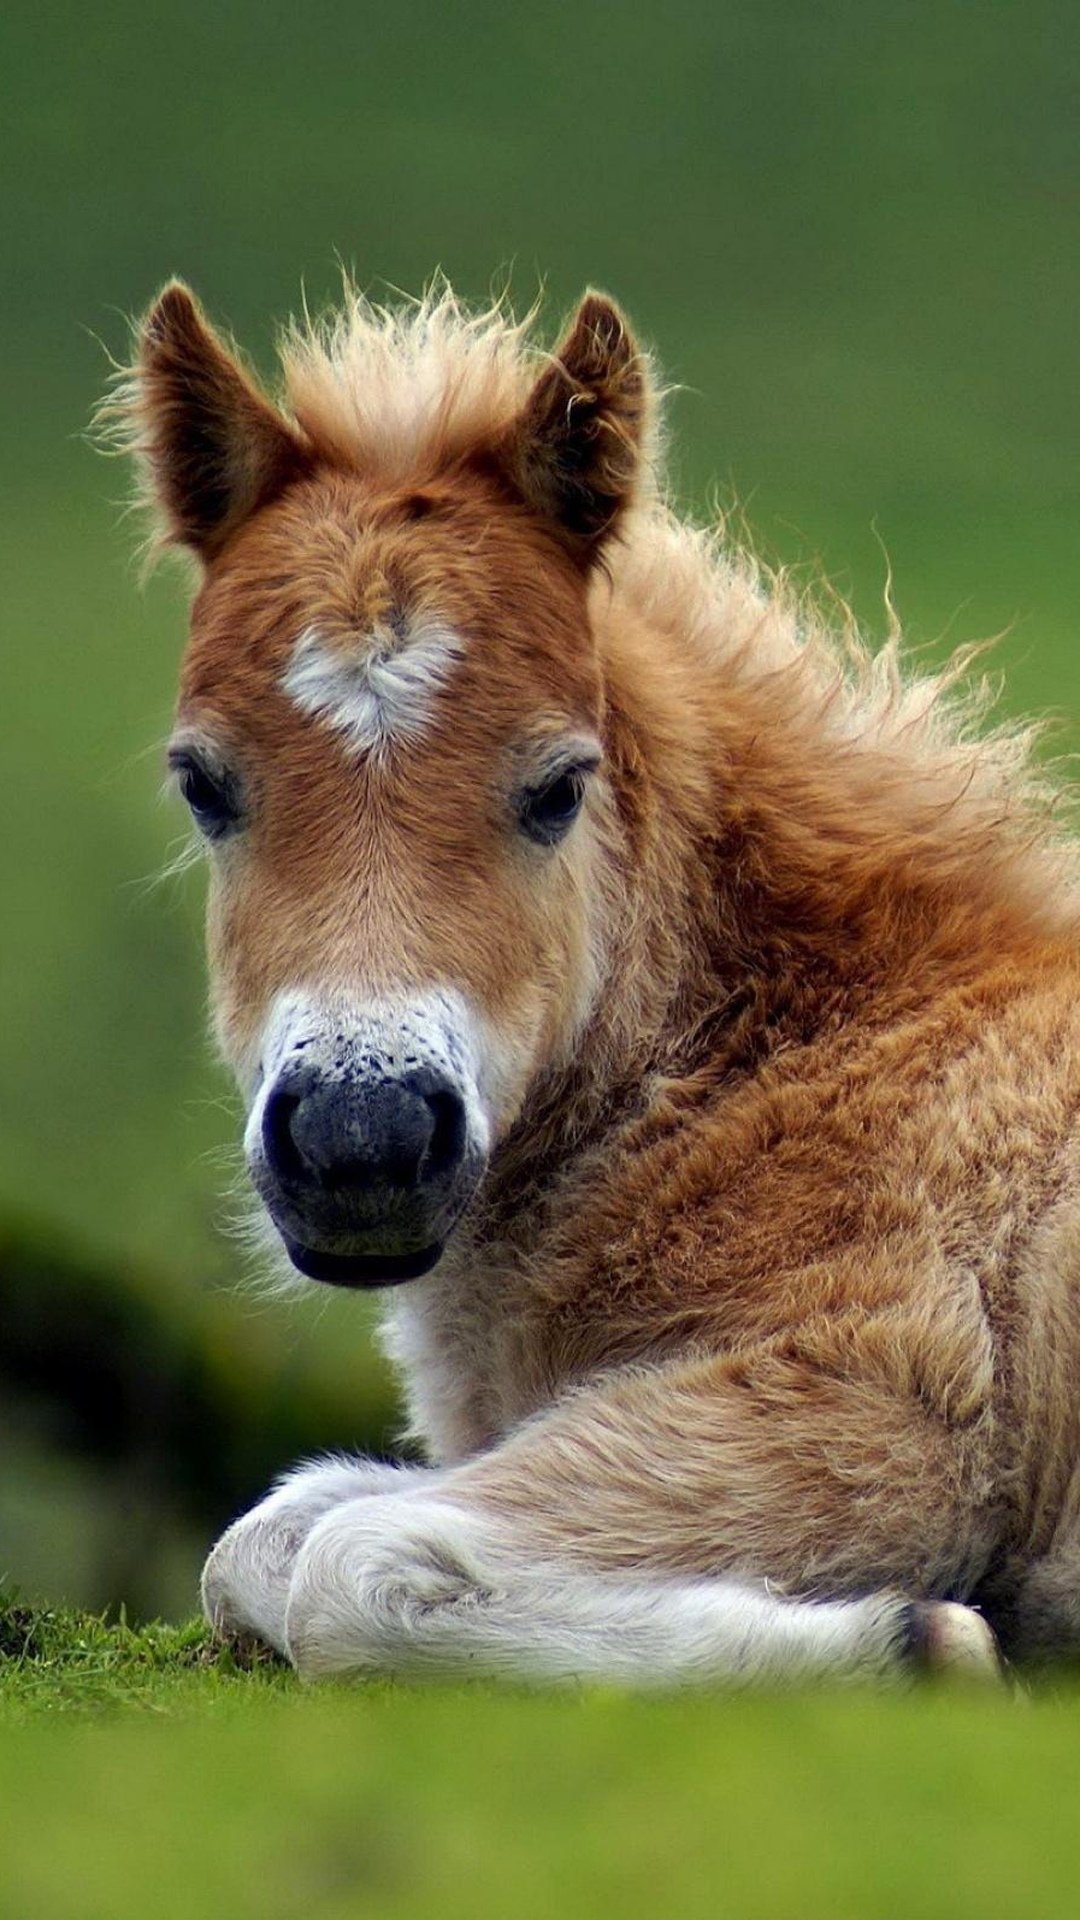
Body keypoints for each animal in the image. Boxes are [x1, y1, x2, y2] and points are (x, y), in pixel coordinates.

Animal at [115, 274, 1076, 1681]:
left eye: (559, 786)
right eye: (201, 783)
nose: (362, 1141)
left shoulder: (881, 1400)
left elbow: (356, 1564)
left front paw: (919, 1640)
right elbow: (269, 1536)